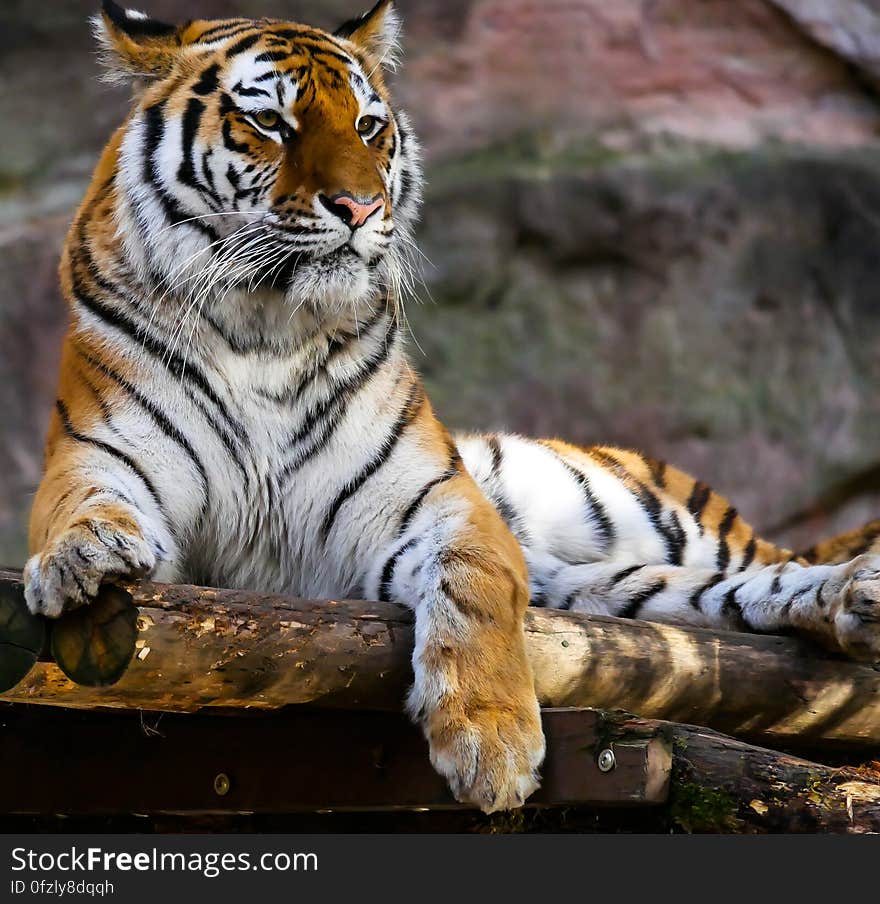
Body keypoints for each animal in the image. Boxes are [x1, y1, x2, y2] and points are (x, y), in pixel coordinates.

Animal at [22, 0, 880, 816]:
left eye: (369, 127)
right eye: (271, 123)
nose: (359, 207)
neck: (265, 327)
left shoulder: (440, 502)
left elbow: (474, 592)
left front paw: (491, 746)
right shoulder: (98, 455)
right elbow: (80, 507)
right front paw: (82, 557)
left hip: (654, 518)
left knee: (773, 565)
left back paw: (853, 588)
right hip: (620, 587)